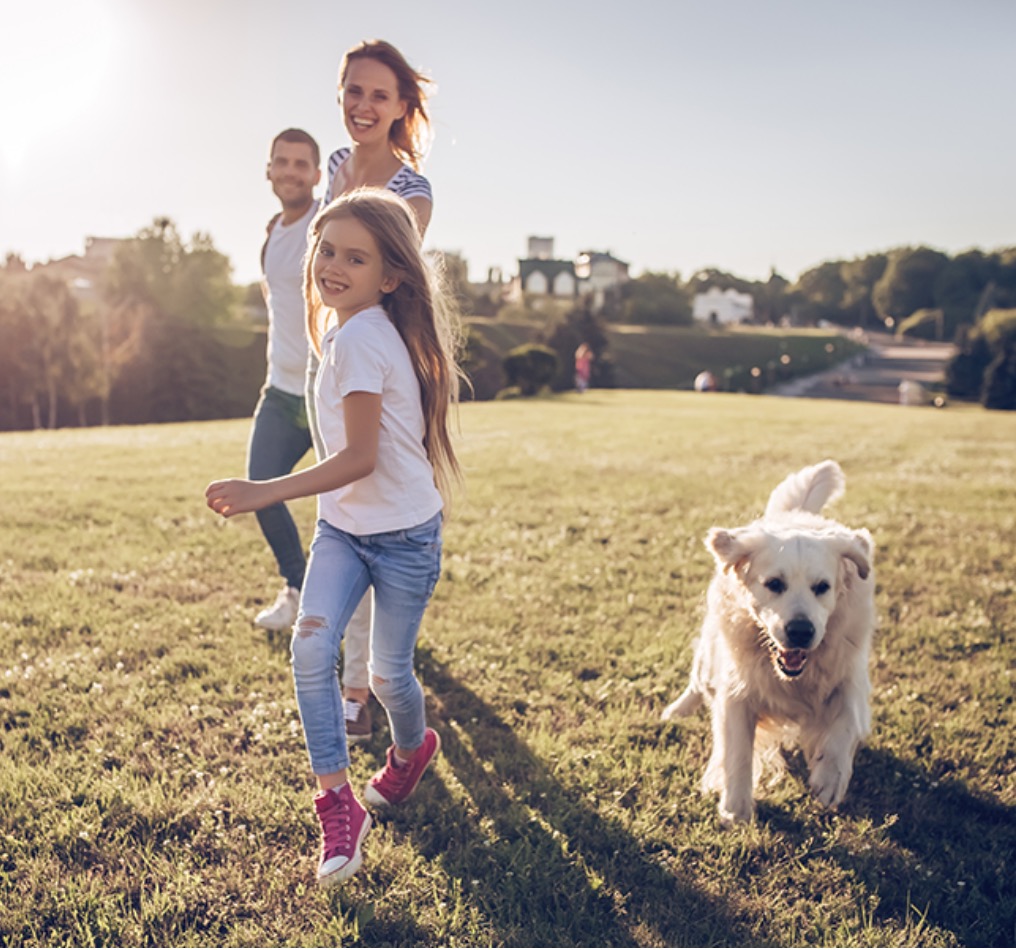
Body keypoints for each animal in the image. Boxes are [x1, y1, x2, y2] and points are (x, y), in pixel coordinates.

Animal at [666, 461, 873, 825]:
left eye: (822, 587)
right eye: (774, 584)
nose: (801, 631)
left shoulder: (850, 675)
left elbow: (846, 721)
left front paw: (830, 777)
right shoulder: (737, 692)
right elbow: (737, 752)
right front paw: (736, 808)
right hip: (708, 656)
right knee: (696, 683)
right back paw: (675, 711)